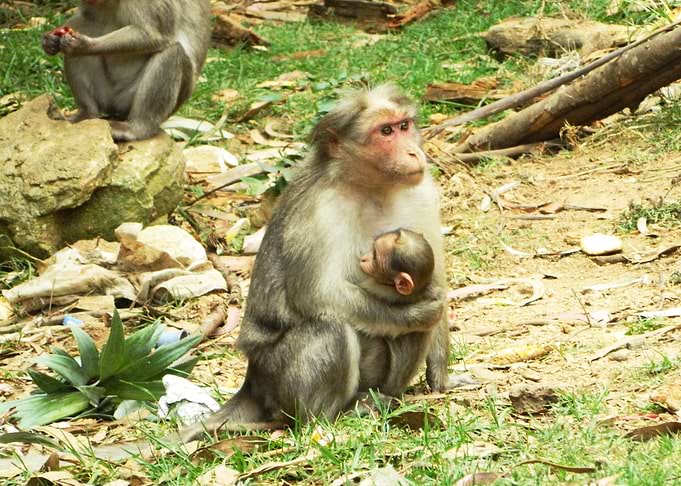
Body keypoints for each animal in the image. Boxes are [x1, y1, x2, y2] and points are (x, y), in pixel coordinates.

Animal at [41, 0, 211, 142]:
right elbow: (86, 18)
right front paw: (50, 40)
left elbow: (151, 34)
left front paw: (84, 45)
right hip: (106, 94)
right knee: (84, 24)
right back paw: (87, 114)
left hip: (128, 98)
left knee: (172, 52)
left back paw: (136, 130)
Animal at [180, 85, 453, 443]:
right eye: (386, 132)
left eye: (404, 125)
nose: (413, 153)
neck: (371, 188)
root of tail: (252, 382)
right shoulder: (318, 212)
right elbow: (318, 296)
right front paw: (416, 313)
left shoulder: (422, 192)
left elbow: (432, 280)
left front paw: (442, 380)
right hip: (278, 376)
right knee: (330, 326)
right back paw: (327, 417)